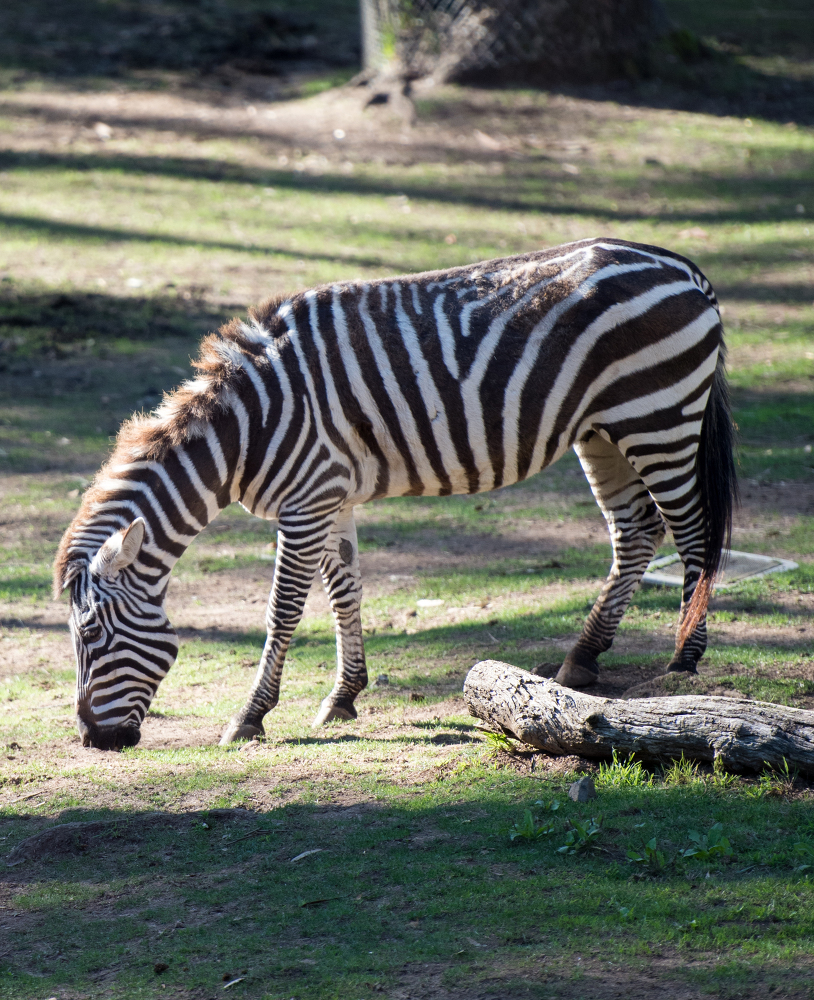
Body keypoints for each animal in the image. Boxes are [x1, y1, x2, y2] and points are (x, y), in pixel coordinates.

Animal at [52, 236, 740, 752]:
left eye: (92, 635)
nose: (94, 741)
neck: (245, 429)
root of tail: (686, 268)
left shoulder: (305, 503)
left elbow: (283, 612)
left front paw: (250, 717)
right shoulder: (330, 497)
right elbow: (345, 593)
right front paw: (343, 696)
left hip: (658, 416)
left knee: (693, 532)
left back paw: (683, 661)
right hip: (603, 430)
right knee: (636, 531)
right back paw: (582, 658)